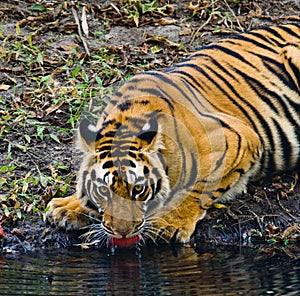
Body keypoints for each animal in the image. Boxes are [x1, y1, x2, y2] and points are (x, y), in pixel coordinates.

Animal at [45, 24, 300, 249]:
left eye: (138, 190)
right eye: (104, 191)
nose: (122, 232)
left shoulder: (239, 137)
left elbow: (200, 187)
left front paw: (169, 225)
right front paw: (67, 207)